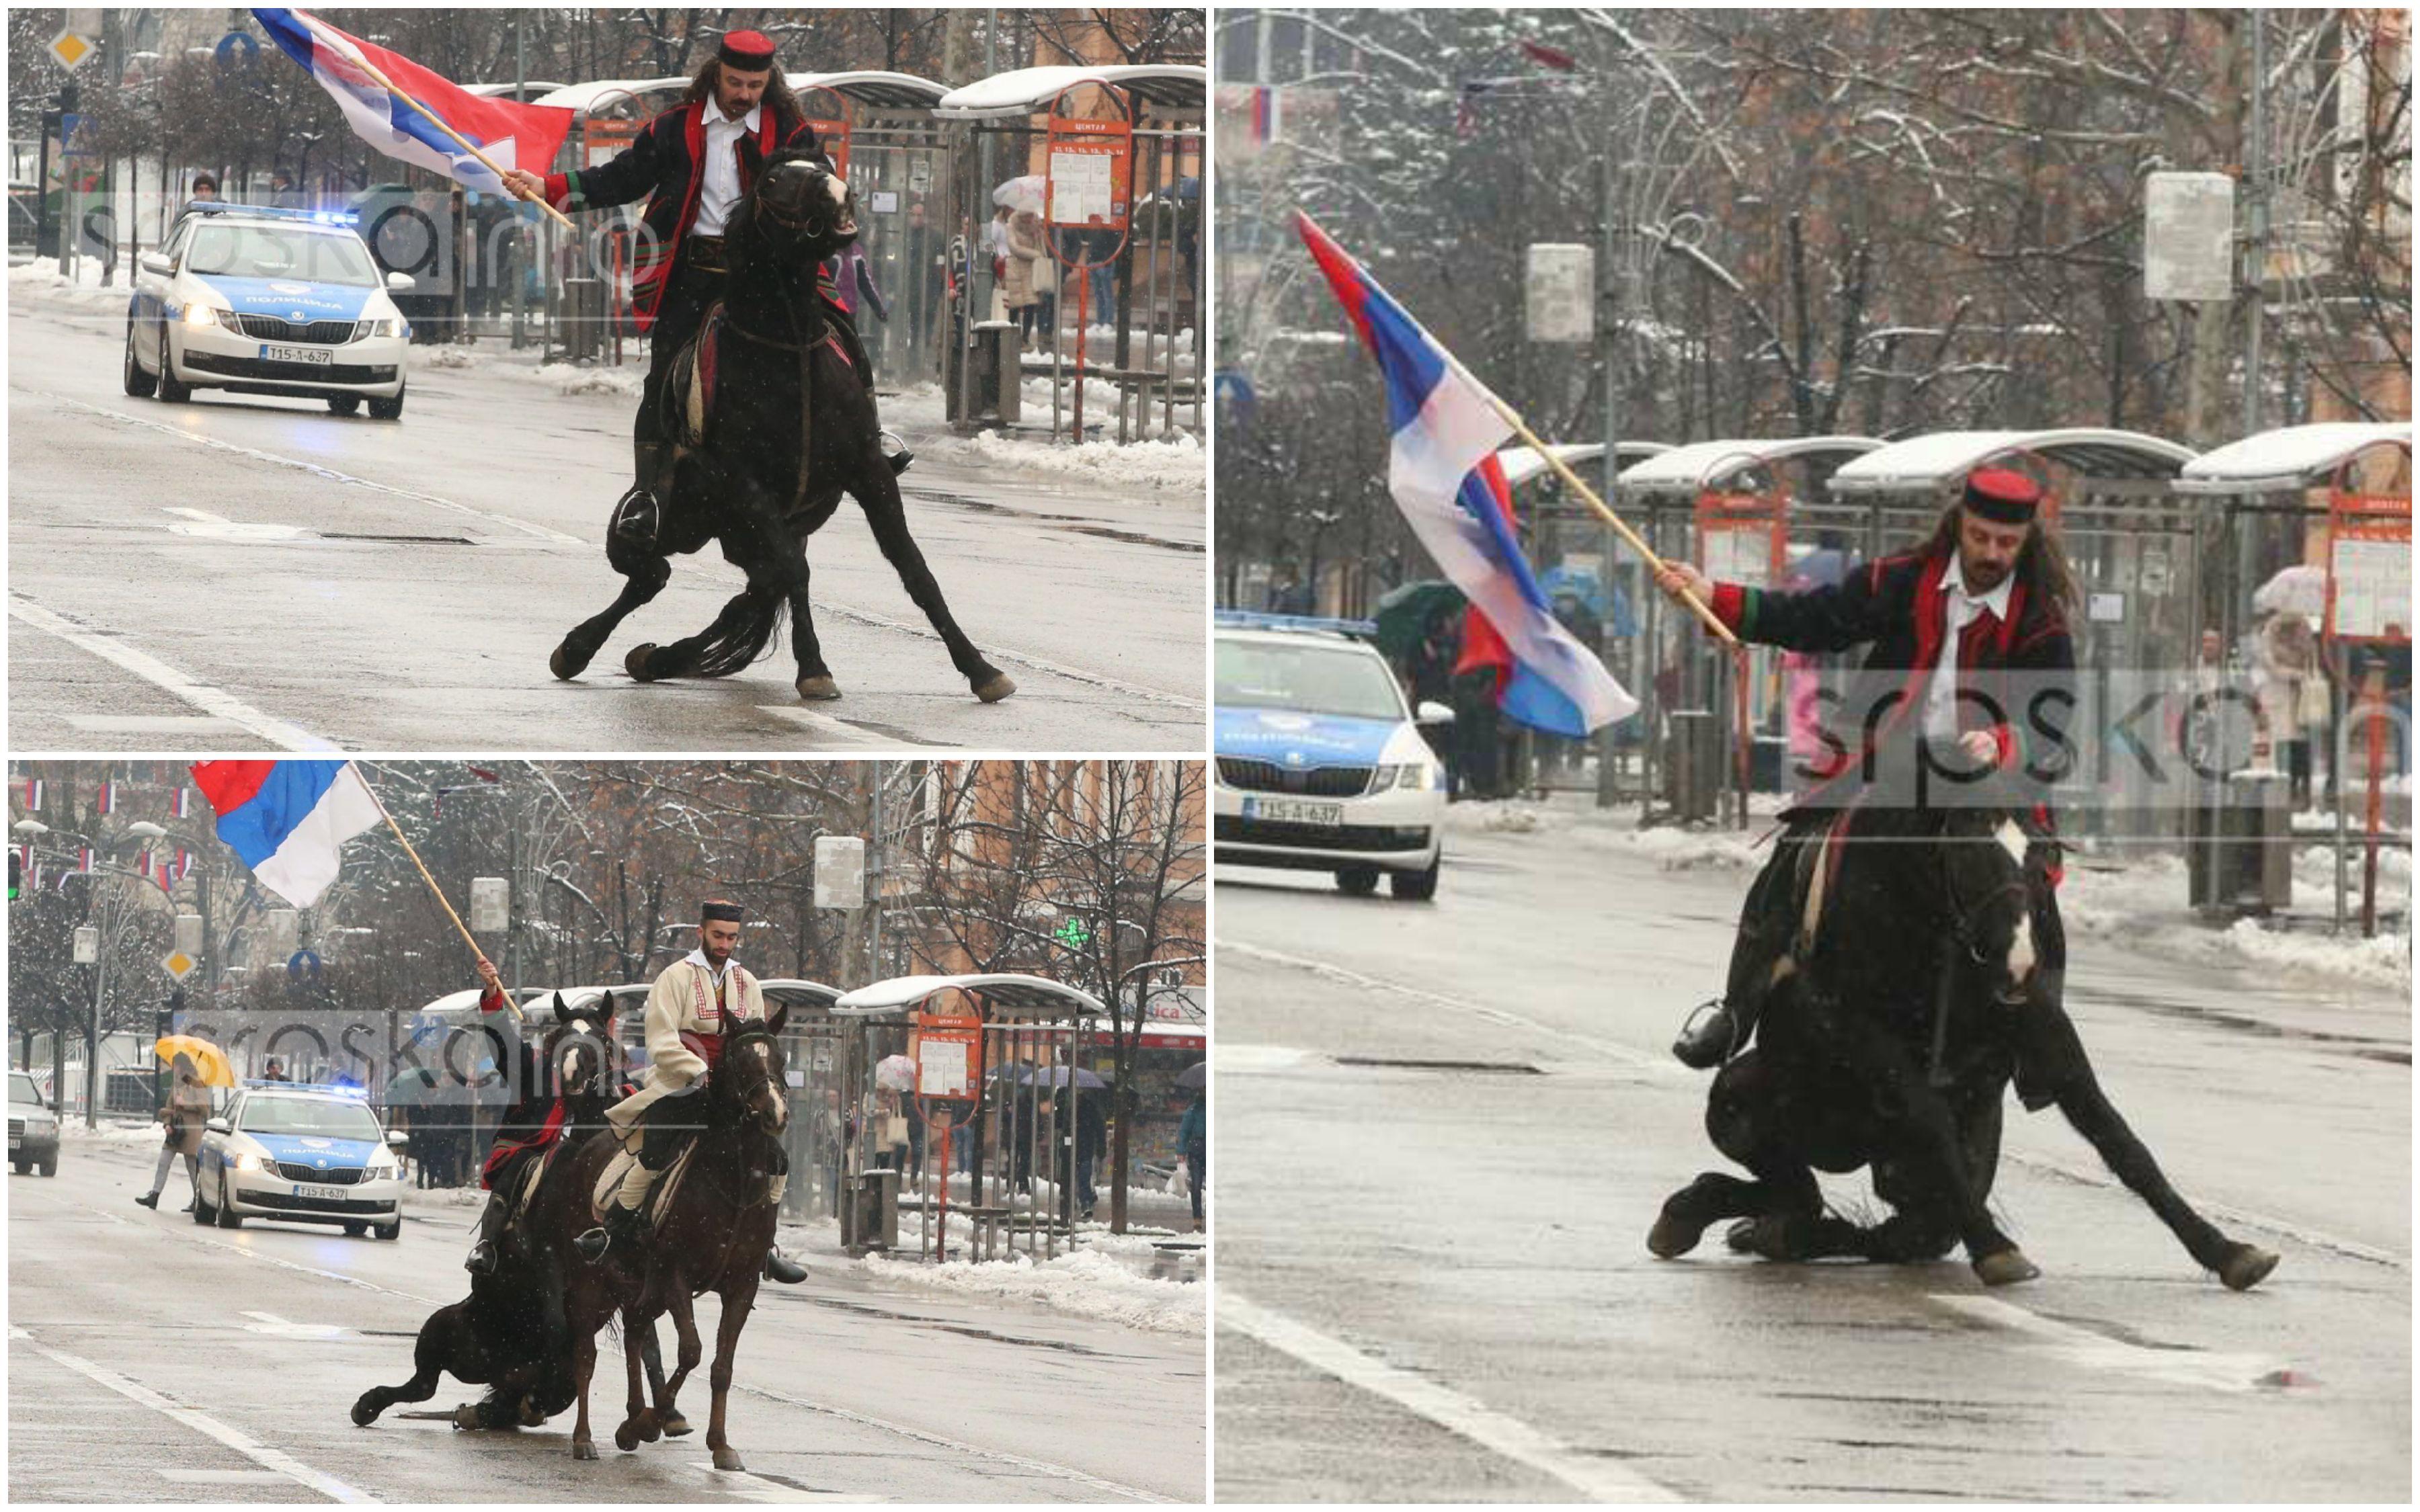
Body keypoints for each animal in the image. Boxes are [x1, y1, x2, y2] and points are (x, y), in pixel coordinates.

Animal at [353, 992, 634, 1422]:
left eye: (601, 1039)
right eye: (561, 1037)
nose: (571, 1074)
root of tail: (499, 1368)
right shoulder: (550, 1263)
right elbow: (557, 1326)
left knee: (525, 1395)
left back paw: (502, 1406)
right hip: (441, 1328)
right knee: (423, 1385)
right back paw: (373, 1404)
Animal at [539, 1001, 793, 1461]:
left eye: (780, 1059)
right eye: (740, 1060)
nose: (775, 1114)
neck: (734, 1181)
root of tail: (586, 1146)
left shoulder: (742, 1284)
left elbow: (722, 1366)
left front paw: (719, 1444)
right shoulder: (677, 1275)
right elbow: (691, 1352)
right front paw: (649, 1422)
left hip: (641, 1285)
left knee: (637, 1330)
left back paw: (632, 1417)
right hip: (590, 1280)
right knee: (586, 1353)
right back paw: (587, 1437)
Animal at [554, 151, 1016, 706]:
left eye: (825, 164)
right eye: (774, 180)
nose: (839, 195)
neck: (788, 350)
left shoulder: (870, 473)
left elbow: (914, 569)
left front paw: (981, 668)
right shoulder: (748, 483)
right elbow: (796, 572)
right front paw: (814, 668)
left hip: (746, 535)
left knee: (748, 591)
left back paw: (660, 656)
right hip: (678, 523)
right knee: (654, 576)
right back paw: (580, 648)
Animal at [1655, 798, 2275, 1287]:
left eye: (2045, 858)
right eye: (1972, 854)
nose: (2018, 964)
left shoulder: (2045, 1029)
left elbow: (2119, 1139)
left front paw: (2226, 1250)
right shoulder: (1863, 1031)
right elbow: (1928, 1114)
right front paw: (1997, 1248)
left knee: (1884, 1225)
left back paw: (1757, 1228)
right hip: (1742, 1100)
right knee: (1807, 1192)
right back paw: (1706, 1213)